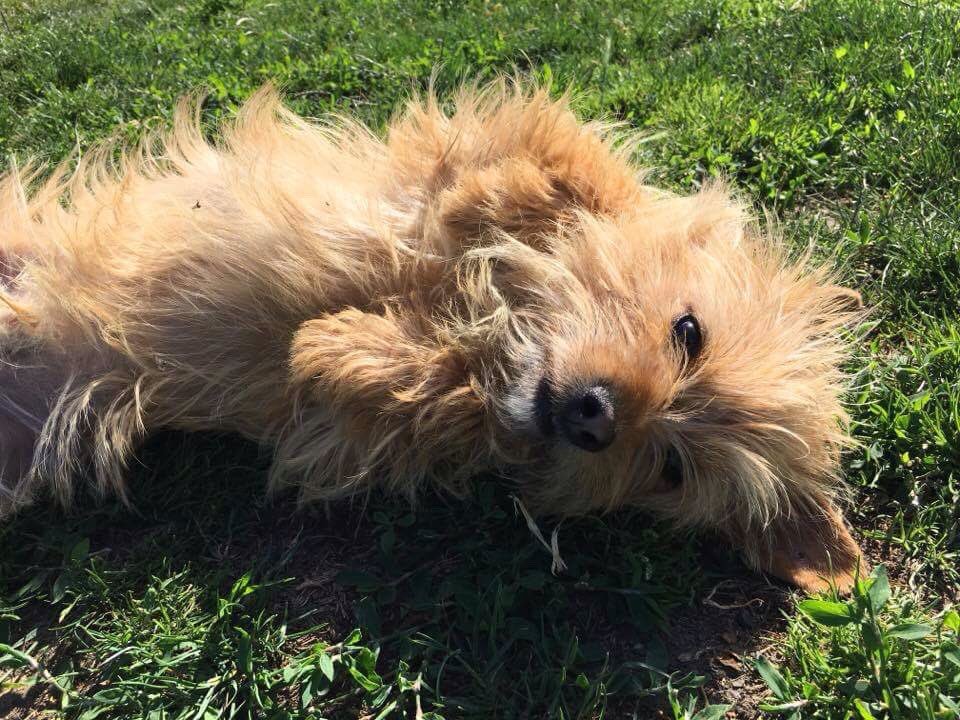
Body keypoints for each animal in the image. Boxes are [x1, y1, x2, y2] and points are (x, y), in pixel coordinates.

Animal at [0, 83, 868, 592]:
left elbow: (413, 393)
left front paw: (340, 342)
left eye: (671, 468)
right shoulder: (462, 150)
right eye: (689, 333)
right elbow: (559, 165)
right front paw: (507, 204)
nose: (593, 417)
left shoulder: (338, 433)